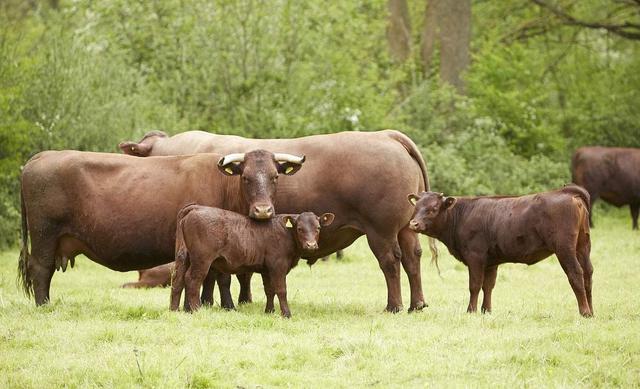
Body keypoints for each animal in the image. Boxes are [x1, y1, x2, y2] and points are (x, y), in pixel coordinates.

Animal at [16, 149, 302, 304]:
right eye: (246, 177)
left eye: (275, 177)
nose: (263, 210)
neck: (224, 187)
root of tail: (42, 156)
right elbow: (218, 278)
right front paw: (221, 306)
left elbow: (211, 278)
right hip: (44, 236)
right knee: (41, 270)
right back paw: (44, 305)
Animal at [170, 205, 336, 316]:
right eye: (300, 229)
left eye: (318, 228)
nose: (311, 245)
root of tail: (195, 208)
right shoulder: (278, 266)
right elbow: (281, 290)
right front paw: (286, 314)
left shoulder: (266, 270)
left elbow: (269, 290)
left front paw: (269, 311)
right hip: (201, 260)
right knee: (192, 280)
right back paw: (196, 310)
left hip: (184, 257)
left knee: (178, 280)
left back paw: (175, 310)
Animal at [408, 184, 592, 316]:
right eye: (415, 208)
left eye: (433, 209)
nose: (413, 224)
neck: (461, 215)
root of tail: (566, 191)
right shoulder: (491, 261)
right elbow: (488, 286)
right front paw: (486, 311)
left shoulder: (475, 256)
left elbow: (475, 285)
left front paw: (471, 311)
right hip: (583, 246)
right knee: (588, 274)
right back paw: (591, 311)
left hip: (564, 248)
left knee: (576, 273)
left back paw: (584, 312)